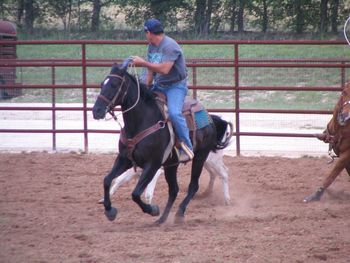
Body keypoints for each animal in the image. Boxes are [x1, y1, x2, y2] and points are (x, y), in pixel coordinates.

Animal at [92, 60, 232, 225]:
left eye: (114, 84)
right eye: (102, 84)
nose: (96, 111)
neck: (141, 122)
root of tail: (210, 117)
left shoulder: (153, 165)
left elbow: (137, 193)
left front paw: (152, 209)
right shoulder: (125, 159)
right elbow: (108, 180)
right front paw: (109, 210)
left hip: (201, 157)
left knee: (197, 184)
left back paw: (180, 213)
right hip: (173, 164)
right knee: (174, 190)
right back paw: (162, 219)